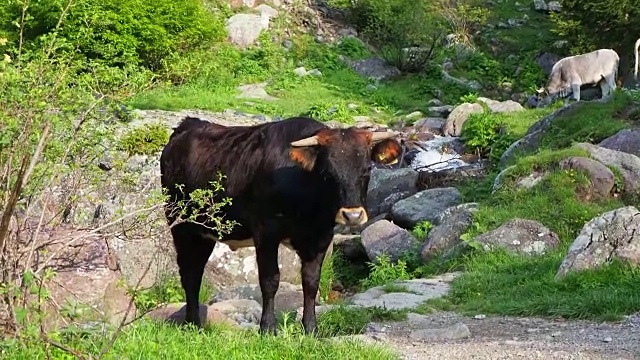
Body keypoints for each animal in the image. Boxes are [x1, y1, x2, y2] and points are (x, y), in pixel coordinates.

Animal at [159, 116, 400, 334]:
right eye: (328, 173)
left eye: (367, 169)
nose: (352, 215)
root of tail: (187, 126)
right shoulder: (266, 233)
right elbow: (270, 280)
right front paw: (267, 328)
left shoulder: (320, 237)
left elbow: (311, 282)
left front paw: (311, 328)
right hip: (180, 225)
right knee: (189, 273)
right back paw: (192, 323)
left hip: (204, 233)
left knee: (196, 270)